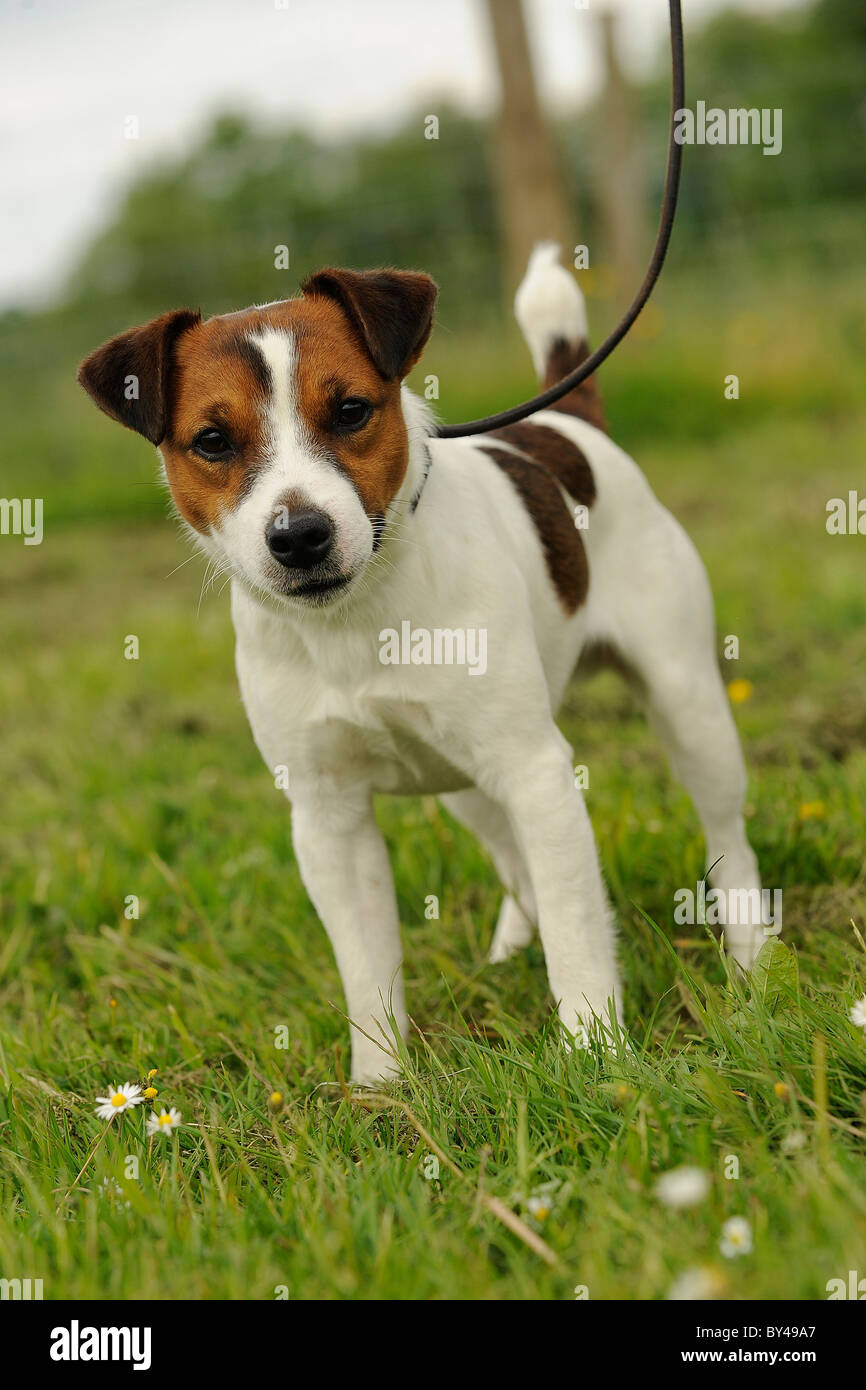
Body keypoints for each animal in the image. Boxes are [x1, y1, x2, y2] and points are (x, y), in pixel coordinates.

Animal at [77, 239, 761, 1084]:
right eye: (211, 441)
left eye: (350, 411)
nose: (299, 536)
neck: (354, 622)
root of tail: (568, 422)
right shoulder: (328, 816)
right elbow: (367, 966)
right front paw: (381, 1086)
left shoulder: (536, 771)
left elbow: (576, 931)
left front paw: (594, 1055)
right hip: (463, 781)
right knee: (513, 861)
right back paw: (507, 952)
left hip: (685, 701)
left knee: (725, 835)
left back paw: (751, 960)